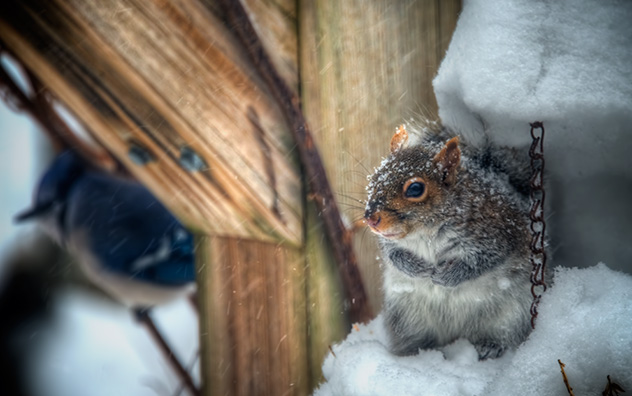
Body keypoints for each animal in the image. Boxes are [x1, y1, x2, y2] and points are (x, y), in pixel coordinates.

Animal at [366, 123, 548, 358]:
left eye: (415, 189)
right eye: (374, 179)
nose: (370, 219)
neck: (425, 233)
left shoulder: (498, 233)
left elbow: (483, 261)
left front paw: (446, 276)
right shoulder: (390, 242)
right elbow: (393, 255)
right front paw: (416, 268)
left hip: (514, 315)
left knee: (506, 336)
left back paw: (490, 347)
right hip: (407, 320)